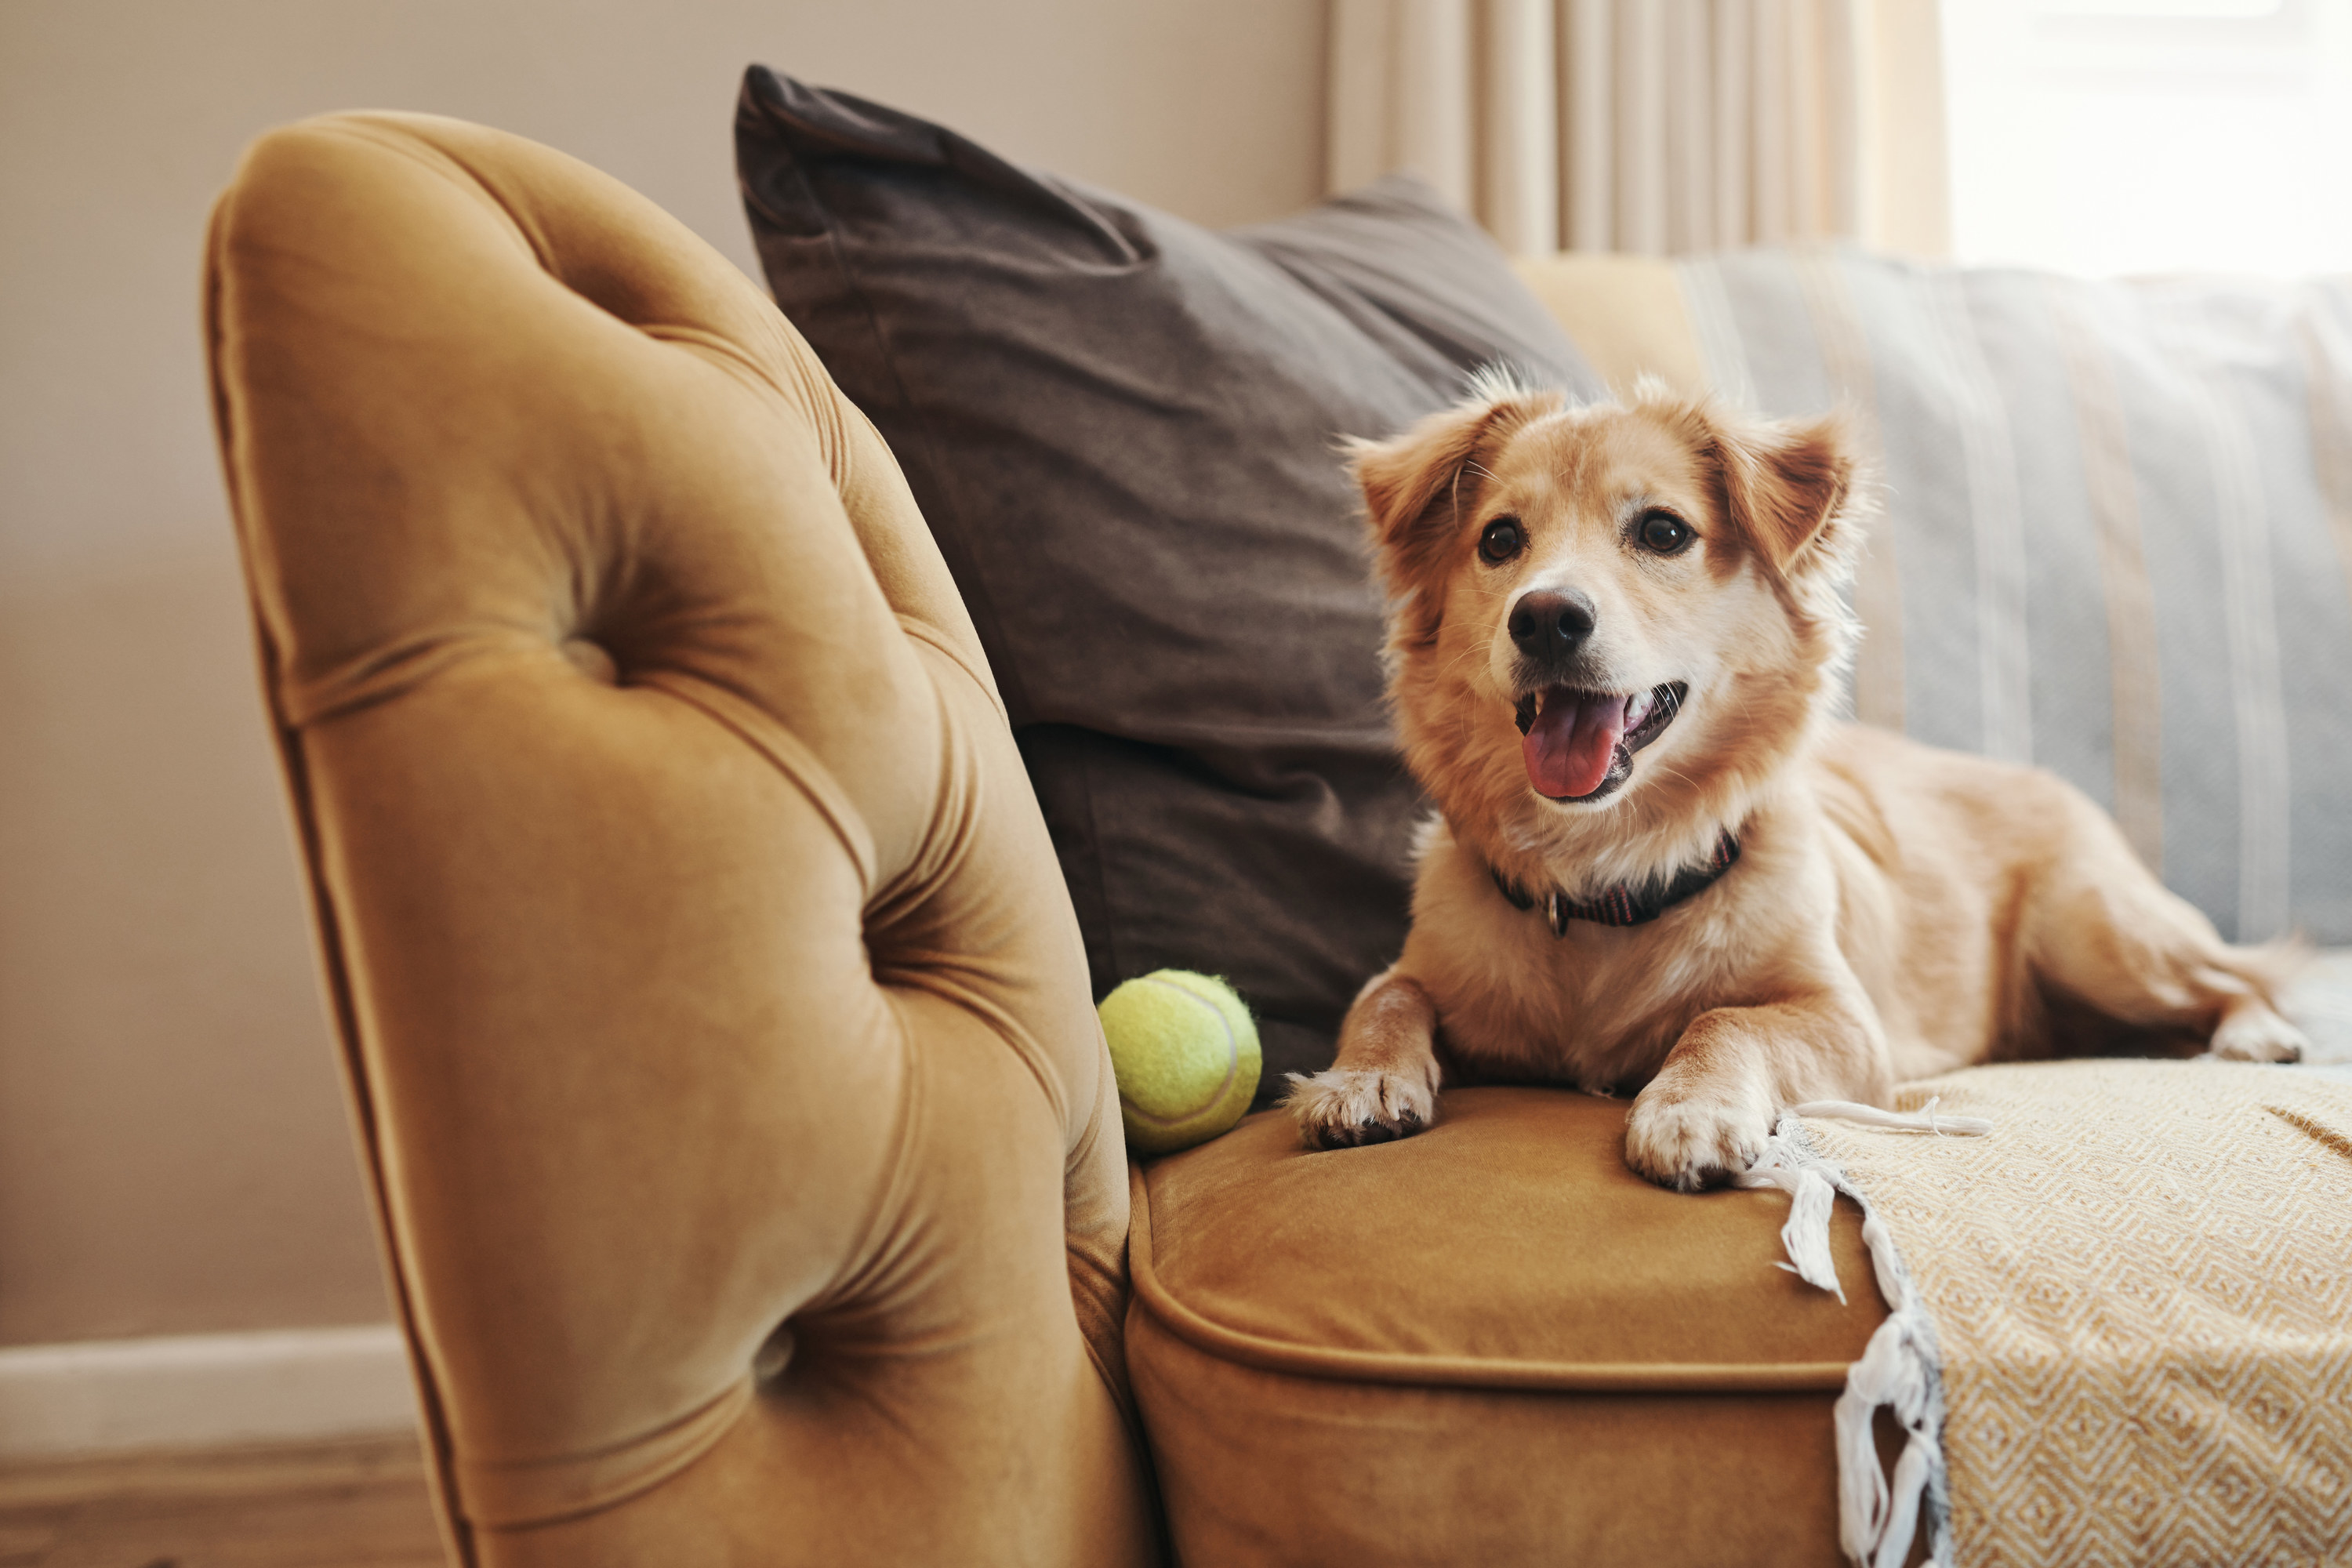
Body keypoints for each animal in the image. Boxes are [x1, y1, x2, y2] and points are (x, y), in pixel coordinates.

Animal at [1279, 376, 2305, 1189]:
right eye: (1500, 540)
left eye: (1662, 531)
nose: (1545, 617)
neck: (1607, 876)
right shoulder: (1426, 969)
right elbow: (1385, 994)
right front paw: (1360, 1078)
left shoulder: (1847, 1024)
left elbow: (1727, 1018)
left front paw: (1688, 1109)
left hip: (2096, 932)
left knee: (2232, 974)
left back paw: (2255, 1033)